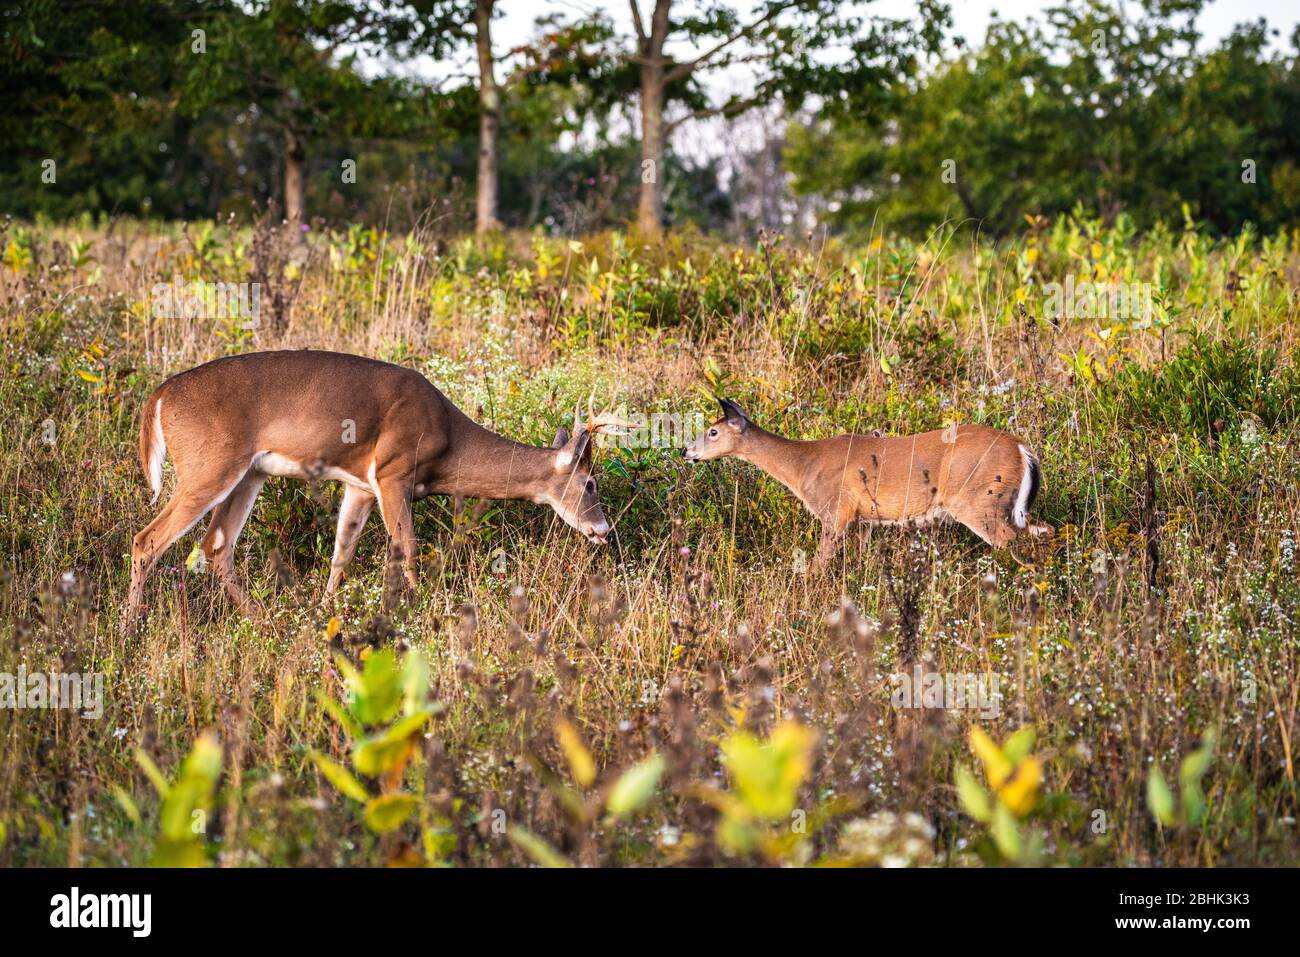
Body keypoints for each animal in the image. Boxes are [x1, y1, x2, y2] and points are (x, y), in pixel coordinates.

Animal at [121, 349, 630, 634]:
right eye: (590, 482)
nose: (603, 529)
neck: (449, 440)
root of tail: (157, 398)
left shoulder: (360, 485)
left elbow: (342, 553)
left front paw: (323, 614)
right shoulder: (392, 471)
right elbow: (407, 546)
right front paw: (421, 615)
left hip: (248, 473)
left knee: (215, 544)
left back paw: (261, 620)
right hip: (208, 465)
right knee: (147, 540)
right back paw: (129, 629)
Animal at [683, 397, 1053, 569]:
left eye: (712, 431)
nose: (686, 451)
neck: (804, 466)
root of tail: (1023, 450)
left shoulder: (836, 512)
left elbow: (819, 564)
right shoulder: (864, 521)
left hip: (980, 500)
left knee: (1015, 543)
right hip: (1010, 507)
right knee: (1044, 531)